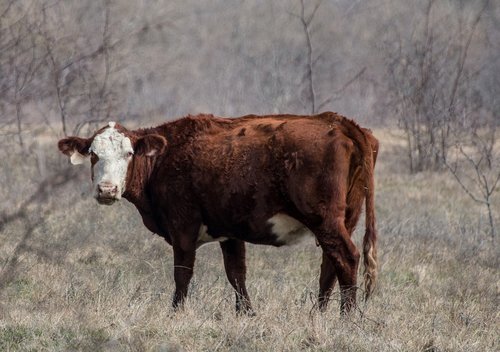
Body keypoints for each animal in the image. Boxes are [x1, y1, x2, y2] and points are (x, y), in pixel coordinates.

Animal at [57, 112, 378, 314]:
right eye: (94, 154)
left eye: (128, 153)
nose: (107, 189)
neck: (165, 158)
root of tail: (338, 122)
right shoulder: (230, 232)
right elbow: (236, 274)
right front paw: (246, 314)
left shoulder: (182, 226)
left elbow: (183, 274)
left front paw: (176, 313)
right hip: (344, 219)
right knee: (330, 265)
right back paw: (318, 314)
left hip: (324, 219)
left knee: (346, 258)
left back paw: (346, 317)